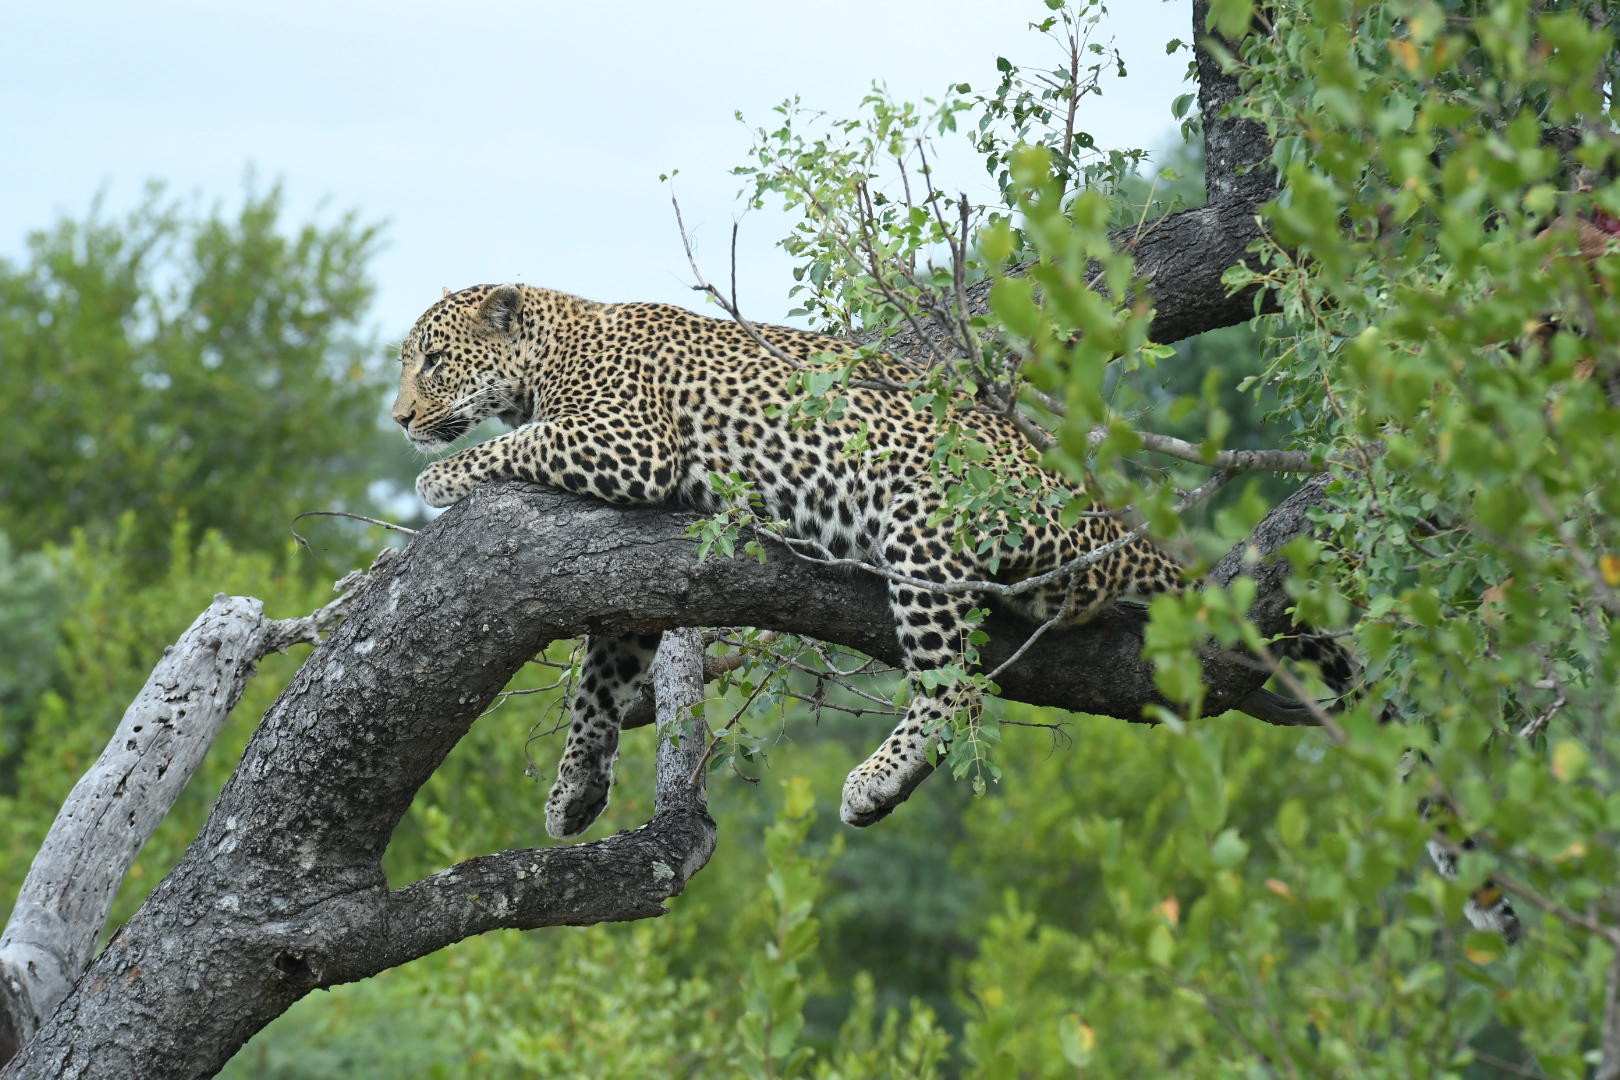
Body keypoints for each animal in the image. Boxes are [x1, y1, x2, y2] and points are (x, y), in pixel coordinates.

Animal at [393, 282, 1520, 942]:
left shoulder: (628, 445)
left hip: (923, 521)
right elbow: (599, 672)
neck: (554, 347)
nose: (398, 417)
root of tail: (1112, 519)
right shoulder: (630, 561)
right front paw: (576, 792)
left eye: (433, 361)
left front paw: (441, 477)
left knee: (955, 692)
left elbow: (517, 447)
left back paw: (877, 782)